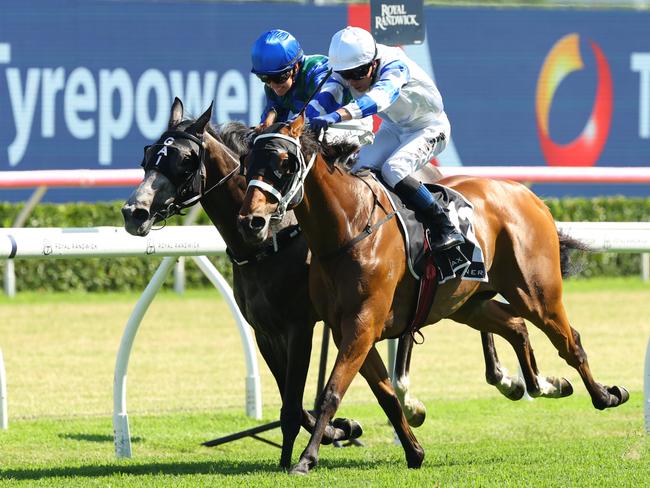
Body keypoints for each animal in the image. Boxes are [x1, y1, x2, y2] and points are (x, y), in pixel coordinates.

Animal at [238, 113, 628, 472]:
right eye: (246, 162)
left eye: (284, 164)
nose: (251, 221)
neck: (349, 227)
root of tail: (526, 193)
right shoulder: (344, 328)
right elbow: (386, 394)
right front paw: (414, 451)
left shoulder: (362, 324)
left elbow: (332, 392)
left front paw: (306, 459)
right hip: (467, 303)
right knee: (516, 325)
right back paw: (545, 385)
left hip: (537, 293)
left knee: (570, 341)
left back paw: (605, 395)